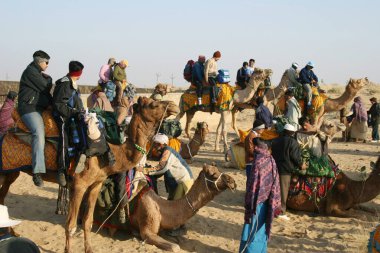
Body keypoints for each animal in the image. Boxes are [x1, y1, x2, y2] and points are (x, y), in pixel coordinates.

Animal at [96, 163, 236, 252]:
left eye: (218, 170)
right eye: (213, 174)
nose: (232, 182)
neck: (162, 209)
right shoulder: (147, 229)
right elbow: (175, 247)